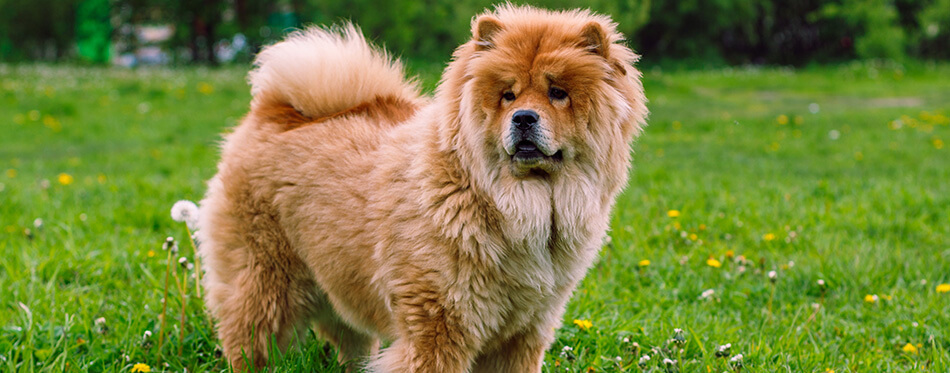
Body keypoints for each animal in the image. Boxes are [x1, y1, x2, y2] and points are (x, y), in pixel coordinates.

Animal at [199, 4, 648, 370]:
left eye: (558, 93)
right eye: (507, 95)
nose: (523, 117)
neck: (513, 205)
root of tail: (274, 110)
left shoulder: (524, 331)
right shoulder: (439, 324)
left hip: (337, 282)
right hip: (265, 277)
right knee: (248, 336)